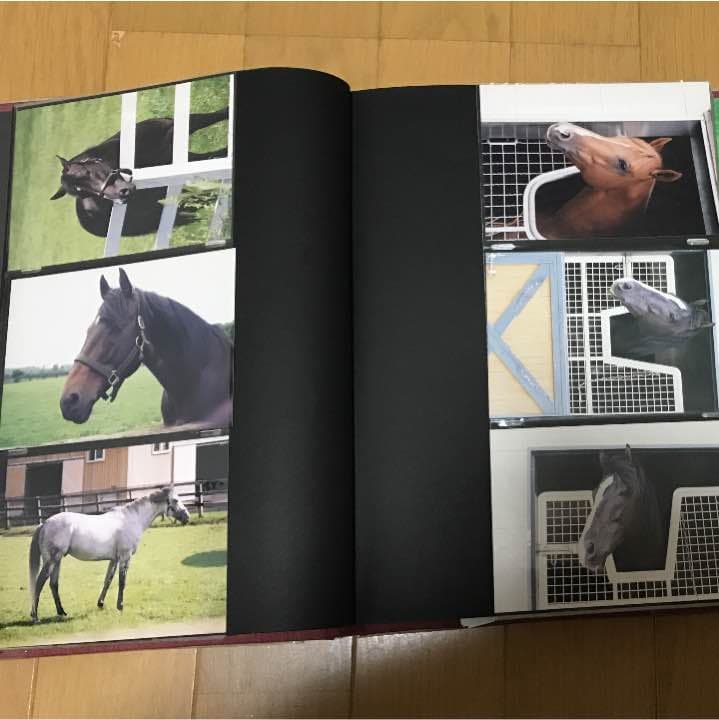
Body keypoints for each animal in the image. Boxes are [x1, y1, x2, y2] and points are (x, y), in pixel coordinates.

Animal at [29, 486, 189, 621]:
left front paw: (100, 604)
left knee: (53, 584)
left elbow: (108, 580)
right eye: (175, 500)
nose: (187, 517)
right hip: (52, 560)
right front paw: (120, 606)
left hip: (58, 560)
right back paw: (35, 616)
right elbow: (122, 581)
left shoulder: (114, 559)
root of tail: (44, 524)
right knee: (39, 582)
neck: (131, 519)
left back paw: (61, 612)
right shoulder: (125, 557)